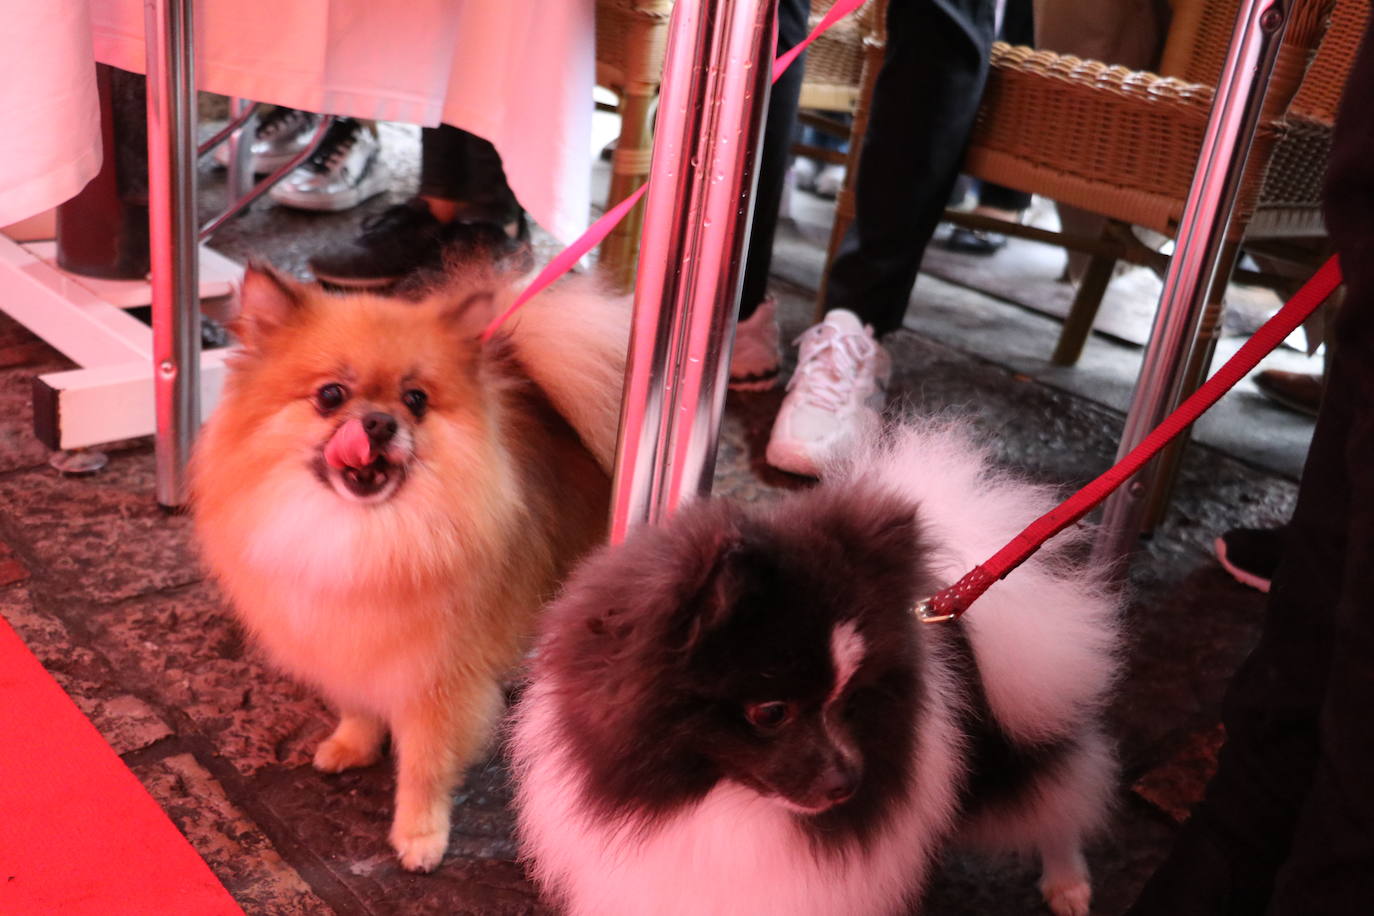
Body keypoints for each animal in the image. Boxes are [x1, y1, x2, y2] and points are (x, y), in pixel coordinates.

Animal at [192, 259, 629, 873]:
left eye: (417, 399)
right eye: (330, 395)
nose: (377, 423)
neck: (368, 534)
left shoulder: (439, 683)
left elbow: (425, 767)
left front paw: (420, 836)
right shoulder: (345, 644)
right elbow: (356, 704)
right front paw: (352, 745)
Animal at [511, 420, 1121, 916]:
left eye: (850, 701)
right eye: (771, 712)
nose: (847, 782)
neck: (724, 804)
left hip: (1007, 755)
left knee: (1058, 805)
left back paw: (1069, 883)